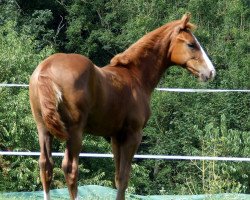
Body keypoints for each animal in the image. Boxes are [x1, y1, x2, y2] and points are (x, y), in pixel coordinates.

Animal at [29, 14, 215, 200]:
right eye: (191, 44)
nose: (211, 72)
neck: (135, 76)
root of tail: (46, 68)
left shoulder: (116, 136)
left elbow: (118, 177)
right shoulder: (133, 134)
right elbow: (124, 178)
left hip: (43, 128)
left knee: (46, 165)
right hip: (75, 131)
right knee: (70, 168)